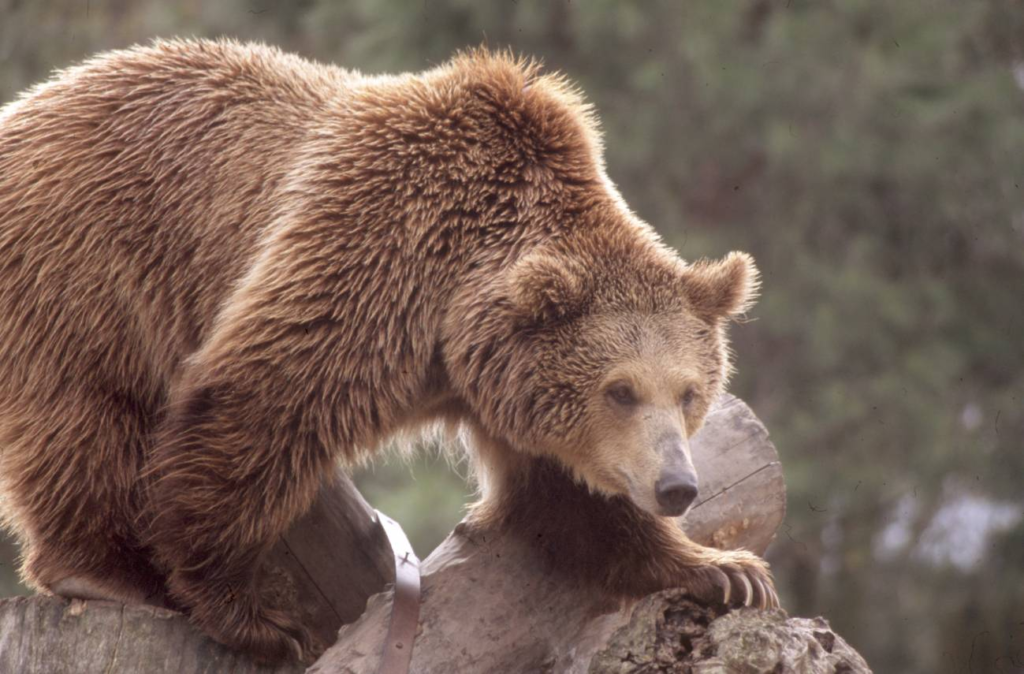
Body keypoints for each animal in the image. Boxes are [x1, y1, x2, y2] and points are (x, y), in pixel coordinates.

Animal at [0, 39, 776, 663]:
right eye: (620, 389)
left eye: (689, 392)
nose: (677, 486)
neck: (456, 312)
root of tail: (25, 106)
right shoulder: (380, 248)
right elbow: (260, 399)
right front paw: (253, 614)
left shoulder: (506, 384)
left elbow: (567, 501)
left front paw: (725, 569)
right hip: (84, 260)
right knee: (83, 413)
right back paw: (100, 569)